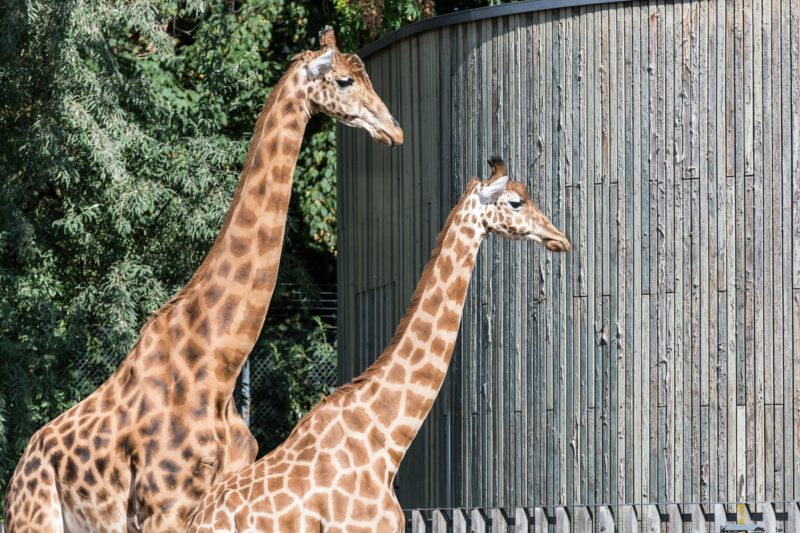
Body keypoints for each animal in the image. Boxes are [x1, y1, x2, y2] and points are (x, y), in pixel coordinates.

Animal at [3, 26, 404, 532]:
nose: (394, 129)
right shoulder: (162, 505)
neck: (219, 363)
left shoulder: (223, 494)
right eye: (346, 80)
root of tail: (18, 471)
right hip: (35, 516)